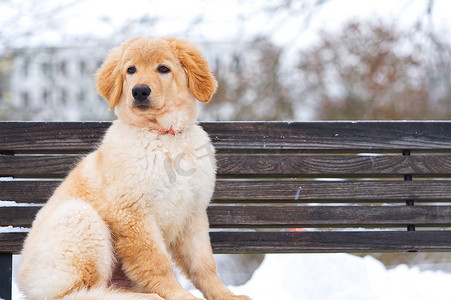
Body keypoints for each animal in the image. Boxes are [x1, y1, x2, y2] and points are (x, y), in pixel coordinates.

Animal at [17, 37, 251, 300]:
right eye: (131, 70)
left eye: (163, 69)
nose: (139, 91)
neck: (163, 136)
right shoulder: (133, 212)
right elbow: (156, 262)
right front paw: (179, 296)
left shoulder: (193, 213)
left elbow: (204, 264)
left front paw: (226, 295)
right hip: (80, 218)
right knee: (80, 292)